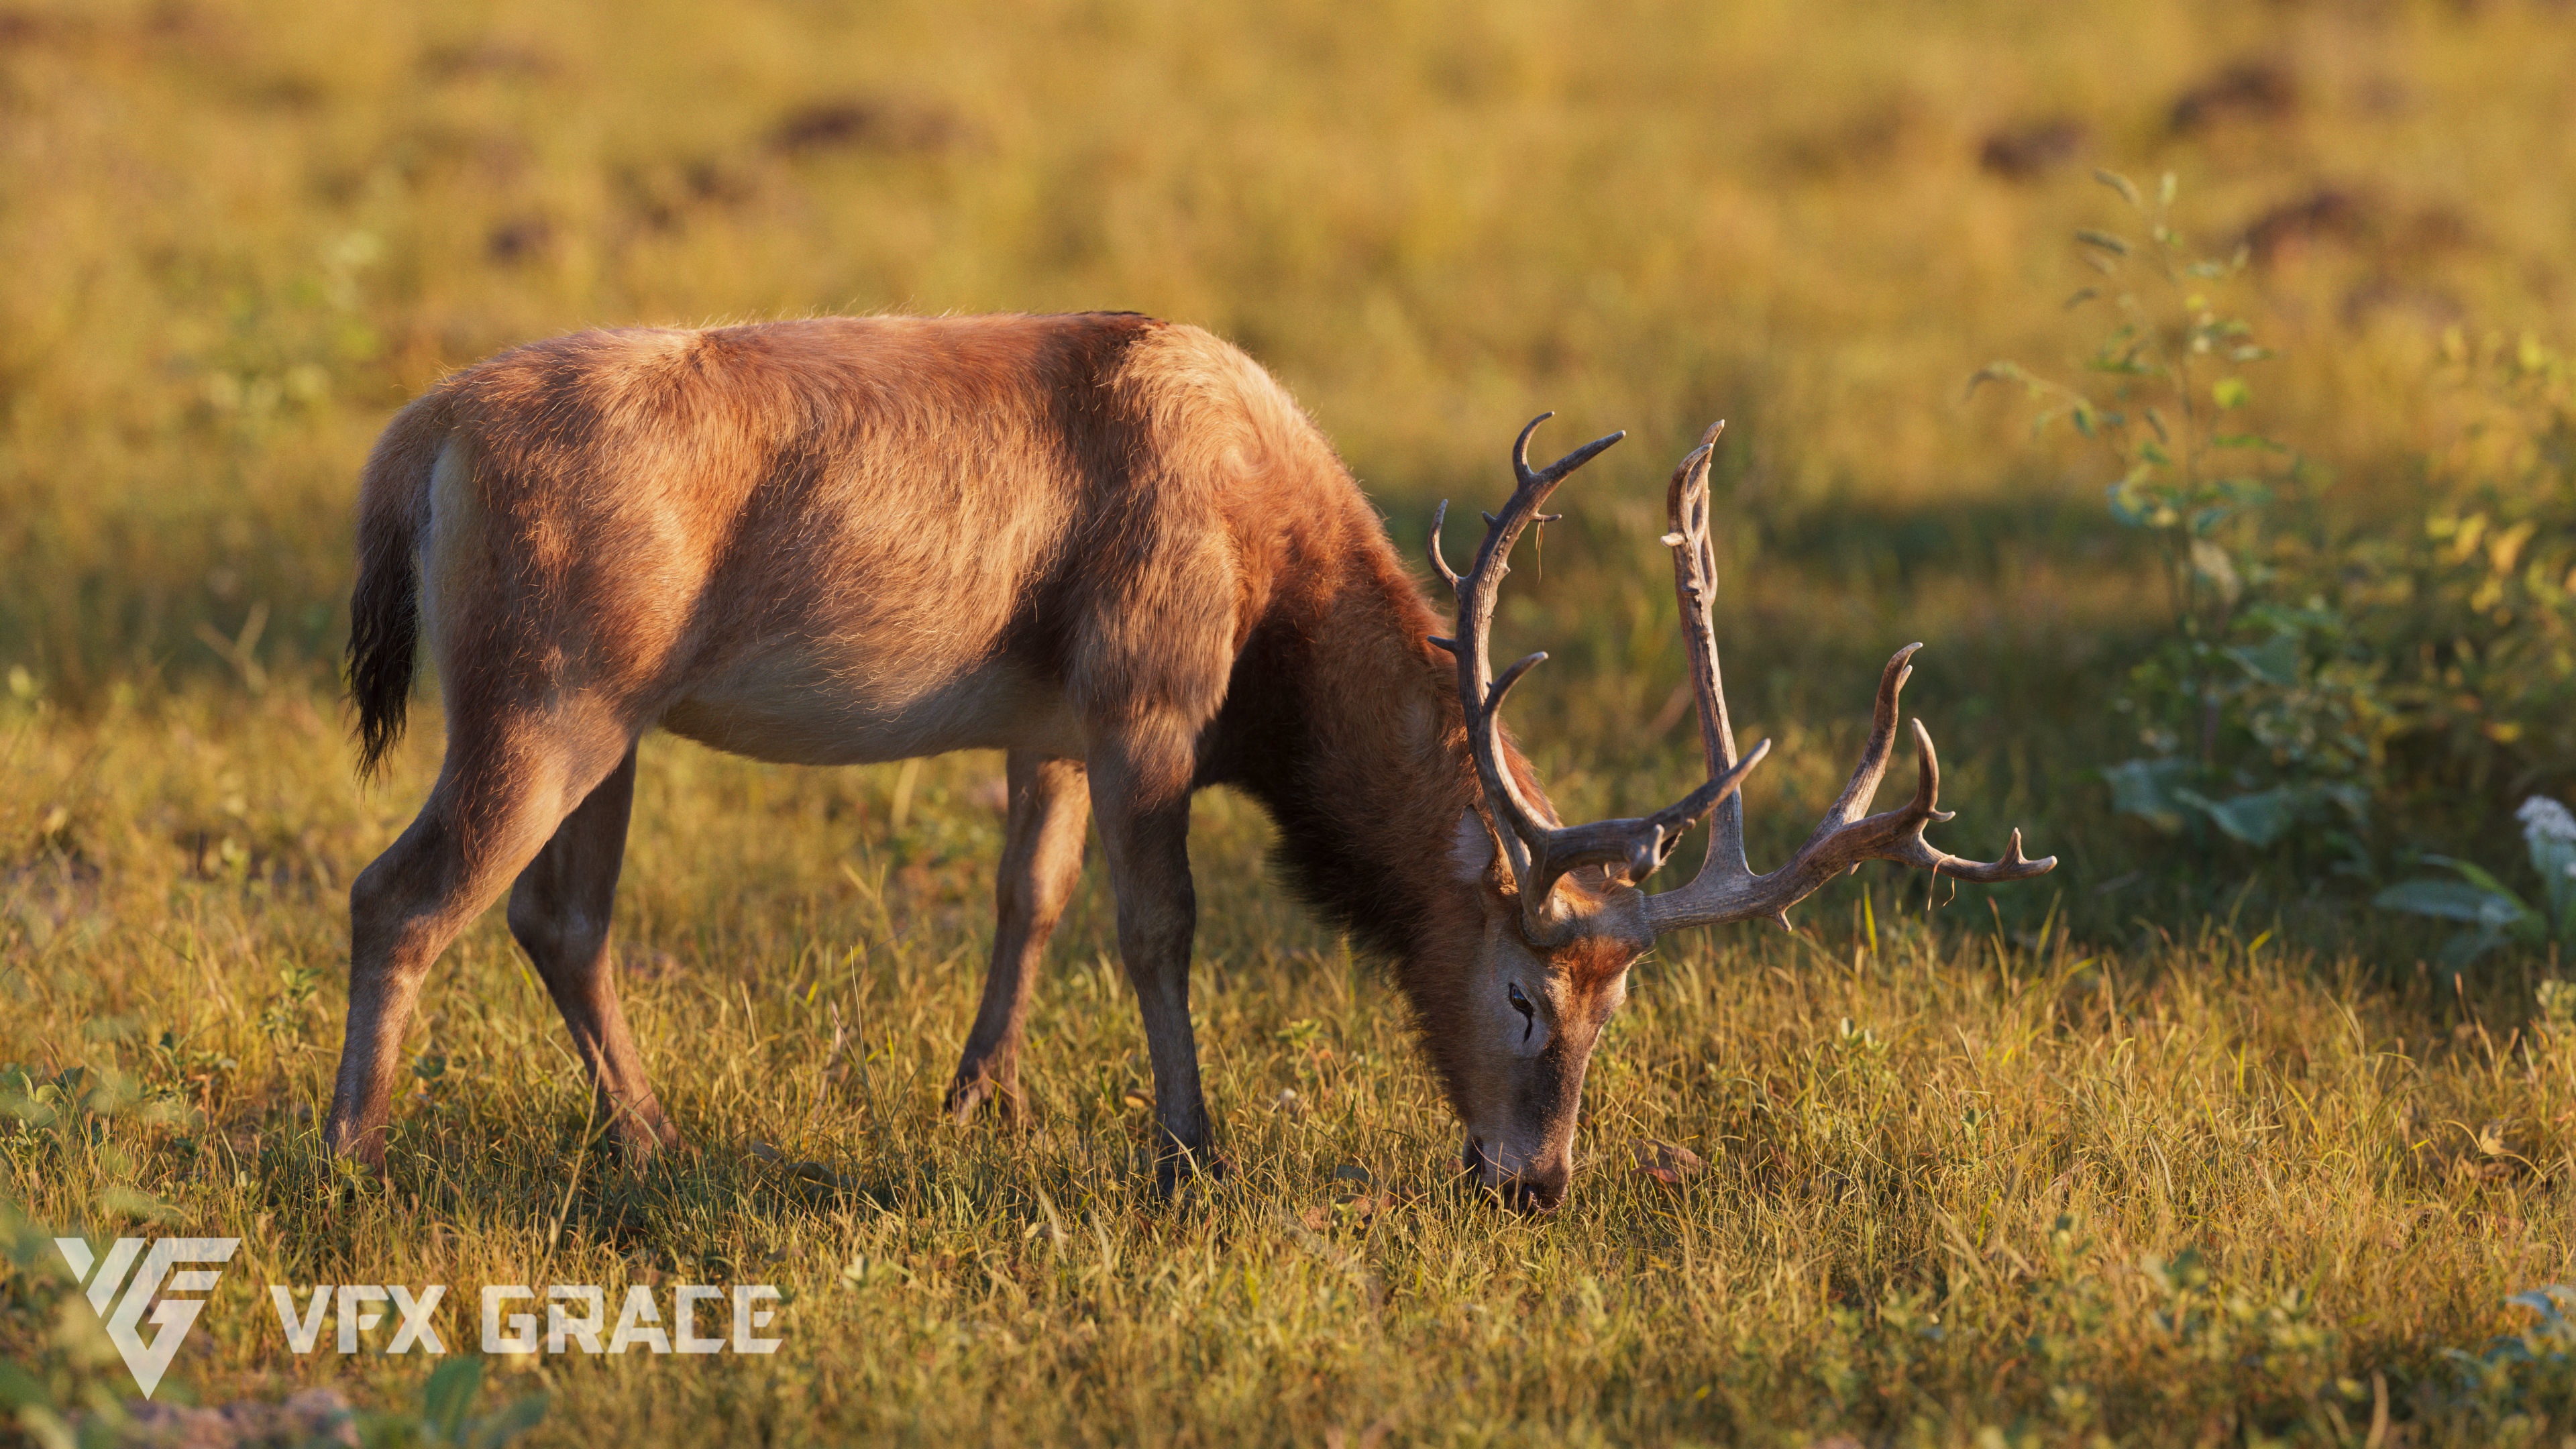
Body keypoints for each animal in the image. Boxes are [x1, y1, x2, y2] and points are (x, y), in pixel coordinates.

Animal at [330, 312, 2052, 1208]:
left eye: (1619, 1005)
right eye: (1522, 989)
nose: (1534, 1178)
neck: (1275, 618)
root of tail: (415, 444)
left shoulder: (1047, 724)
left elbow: (1025, 898)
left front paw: (977, 1102)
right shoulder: (1146, 693)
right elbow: (1159, 926)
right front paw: (1190, 1150)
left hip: (607, 715)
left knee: (559, 918)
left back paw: (654, 1141)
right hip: (546, 693)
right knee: (400, 895)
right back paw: (353, 1154)